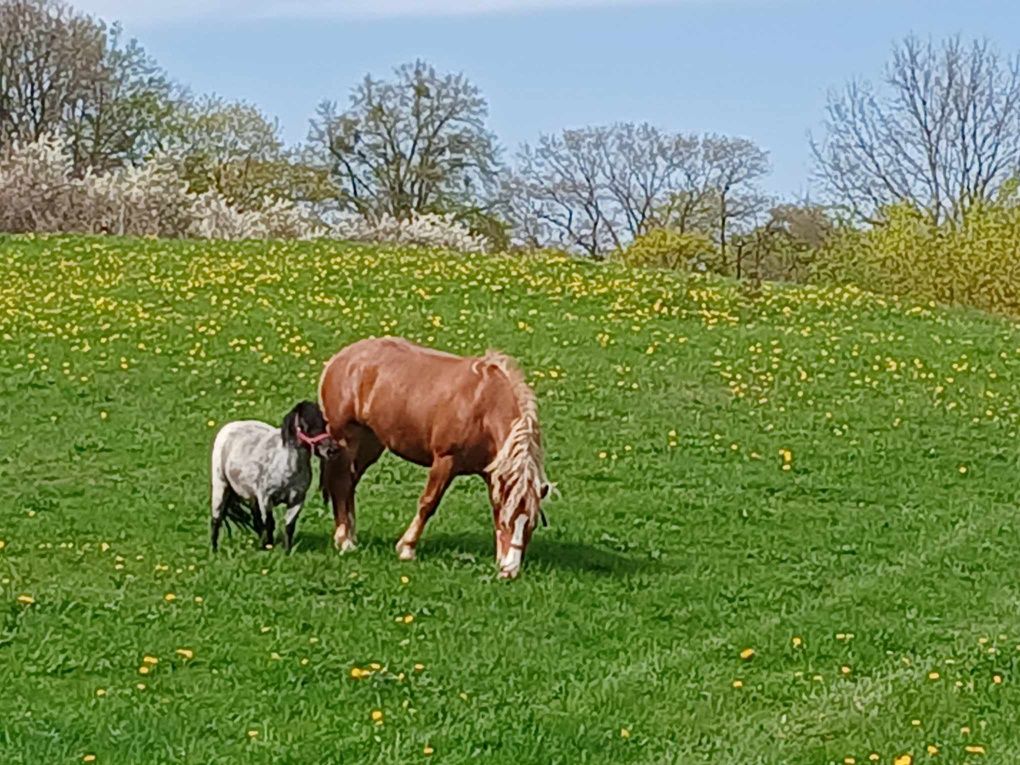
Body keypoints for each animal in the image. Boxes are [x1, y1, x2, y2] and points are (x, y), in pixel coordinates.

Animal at [322, 338, 554, 579]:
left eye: (531, 524)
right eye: (510, 522)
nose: (510, 571)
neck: (484, 407)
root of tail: (341, 358)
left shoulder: (493, 473)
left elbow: (496, 507)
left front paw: (500, 558)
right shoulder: (445, 461)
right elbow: (428, 503)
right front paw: (406, 548)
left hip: (370, 444)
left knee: (350, 484)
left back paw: (350, 535)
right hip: (345, 440)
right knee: (341, 483)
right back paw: (344, 540)